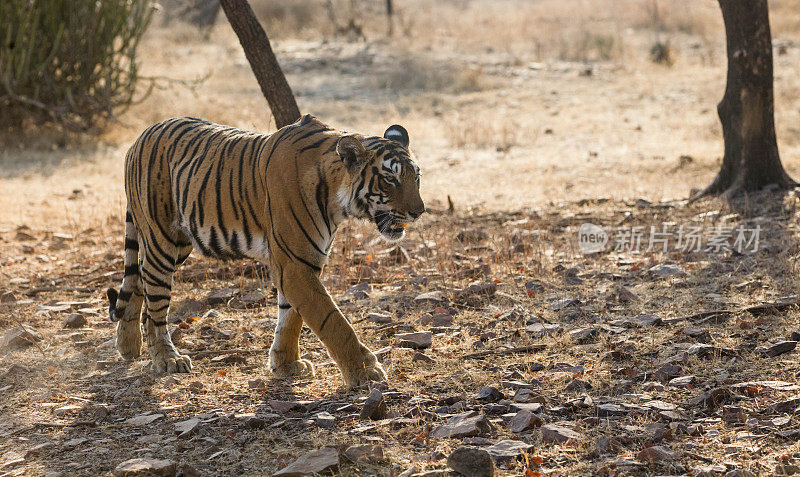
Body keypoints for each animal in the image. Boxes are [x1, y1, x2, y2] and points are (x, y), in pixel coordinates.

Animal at [108, 114, 424, 386]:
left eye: (416, 177)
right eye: (390, 179)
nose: (419, 212)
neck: (336, 198)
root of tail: (139, 138)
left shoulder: (303, 260)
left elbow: (291, 317)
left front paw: (286, 365)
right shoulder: (294, 264)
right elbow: (333, 321)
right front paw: (365, 372)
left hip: (178, 245)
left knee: (140, 284)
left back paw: (129, 345)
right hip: (161, 241)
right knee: (156, 300)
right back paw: (166, 358)